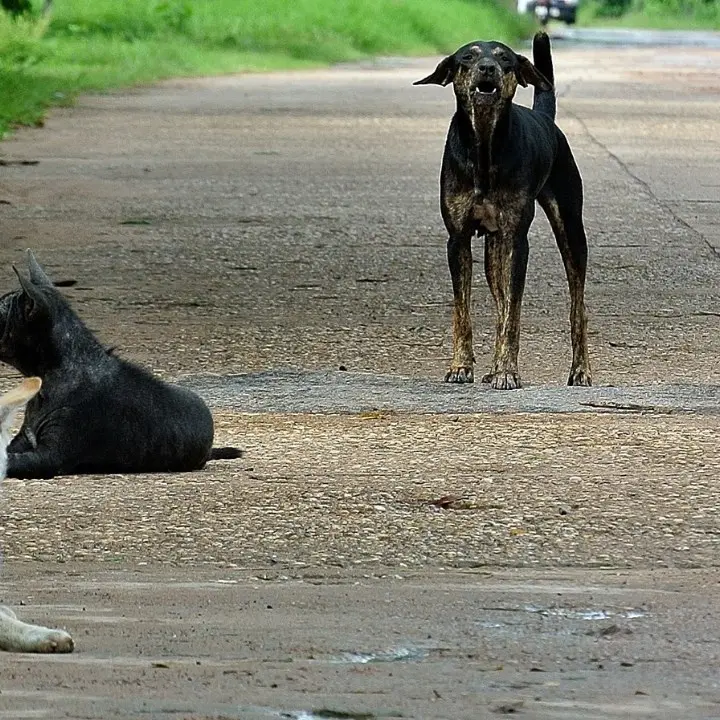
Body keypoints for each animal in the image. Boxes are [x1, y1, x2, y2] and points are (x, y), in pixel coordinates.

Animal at [416, 31, 592, 390]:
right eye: (467, 57)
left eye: (505, 58)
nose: (487, 67)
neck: (484, 147)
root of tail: (546, 119)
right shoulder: (457, 239)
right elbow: (463, 310)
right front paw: (461, 366)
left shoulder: (516, 239)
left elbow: (514, 311)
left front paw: (508, 371)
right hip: (493, 250)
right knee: (499, 301)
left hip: (570, 226)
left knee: (577, 303)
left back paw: (580, 370)